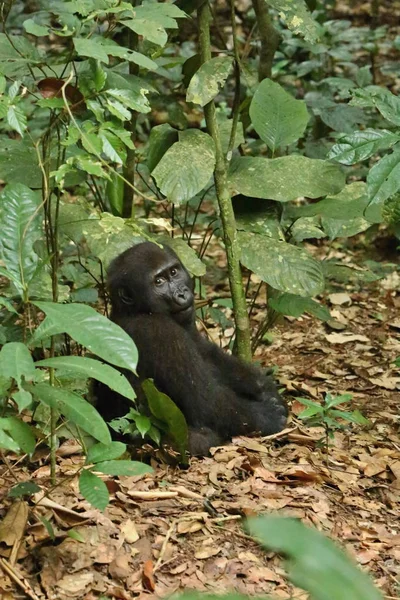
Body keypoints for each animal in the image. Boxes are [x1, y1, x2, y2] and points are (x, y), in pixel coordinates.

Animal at [96, 241, 288, 452]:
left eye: (173, 272)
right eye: (158, 282)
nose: (181, 293)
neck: (136, 310)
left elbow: (208, 354)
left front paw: (264, 387)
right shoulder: (159, 332)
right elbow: (206, 403)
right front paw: (267, 417)